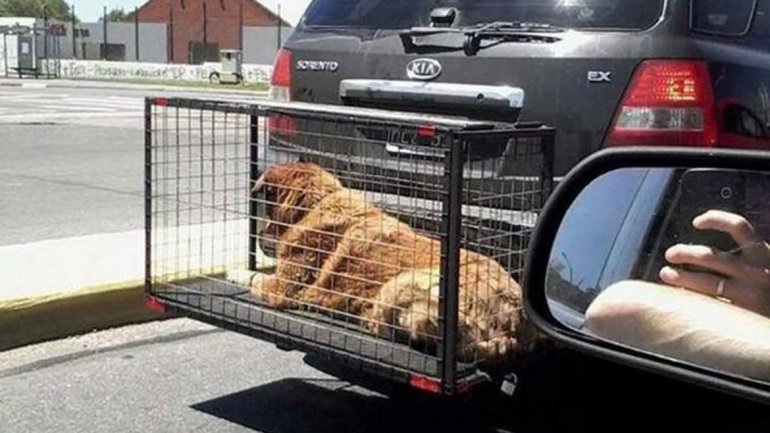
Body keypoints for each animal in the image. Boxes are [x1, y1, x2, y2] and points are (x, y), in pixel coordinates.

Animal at [238, 162, 536, 362]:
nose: (260, 234)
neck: (314, 205)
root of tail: (513, 316)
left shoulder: (282, 288)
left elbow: (253, 277)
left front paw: (239, 273)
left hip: (398, 286)